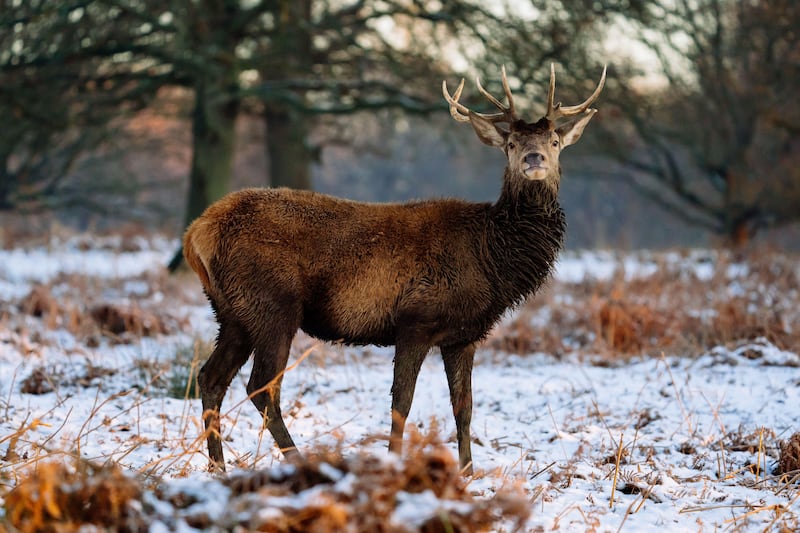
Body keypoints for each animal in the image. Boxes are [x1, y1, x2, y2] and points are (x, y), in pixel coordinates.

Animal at [183, 64, 608, 472]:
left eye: (554, 142)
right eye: (511, 144)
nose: (534, 159)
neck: (491, 258)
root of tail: (195, 234)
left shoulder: (464, 336)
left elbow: (464, 408)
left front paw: (468, 473)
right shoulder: (415, 320)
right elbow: (402, 403)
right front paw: (395, 463)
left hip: (233, 313)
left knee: (210, 377)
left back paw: (218, 467)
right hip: (273, 305)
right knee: (261, 387)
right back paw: (297, 461)